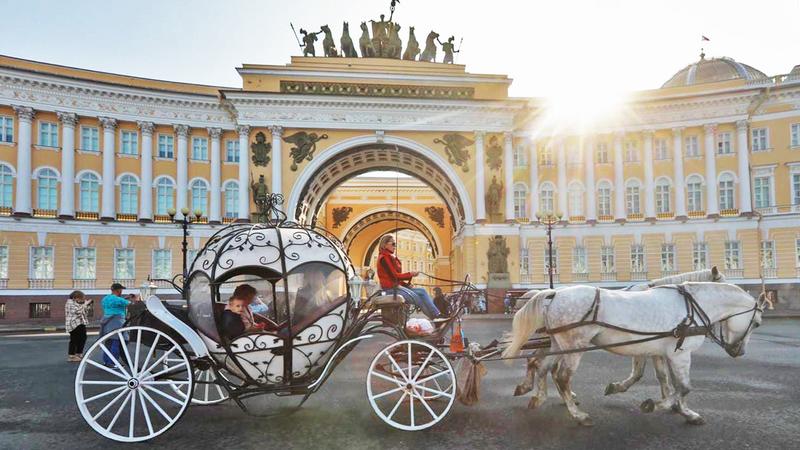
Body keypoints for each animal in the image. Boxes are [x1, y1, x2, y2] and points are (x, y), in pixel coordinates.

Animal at [506, 282, 764, 426]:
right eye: (757, 323)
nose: (739, 351)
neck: (691, 306)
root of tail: (554, 294)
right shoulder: (681, 354)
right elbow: (683, 387)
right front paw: (662, 406)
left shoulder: (664, 352)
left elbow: (669, 383)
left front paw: (681, 410)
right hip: (573, 346)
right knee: (561, 377)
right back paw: (579, 416)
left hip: (559, 344)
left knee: (541, 365)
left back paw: (537, 397)